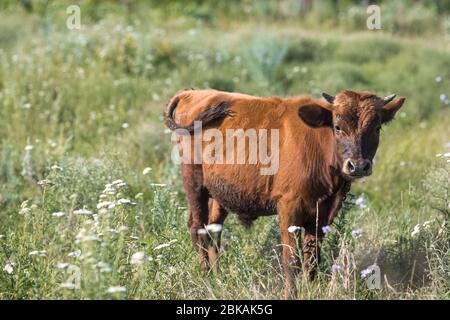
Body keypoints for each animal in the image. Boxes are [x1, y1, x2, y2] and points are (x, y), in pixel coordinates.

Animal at [163, 87, 406, 298]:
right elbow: (291, 260)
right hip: (195, 184)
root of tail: (193, 93)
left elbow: (311, 258)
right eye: (337, 126)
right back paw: (206, 277)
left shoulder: (323, 214)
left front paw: (309, 290)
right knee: (197, 227)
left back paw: (218, 277)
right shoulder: (289, 209)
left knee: (213, 231)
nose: (357, 166)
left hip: (219, 194)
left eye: (377, 128)